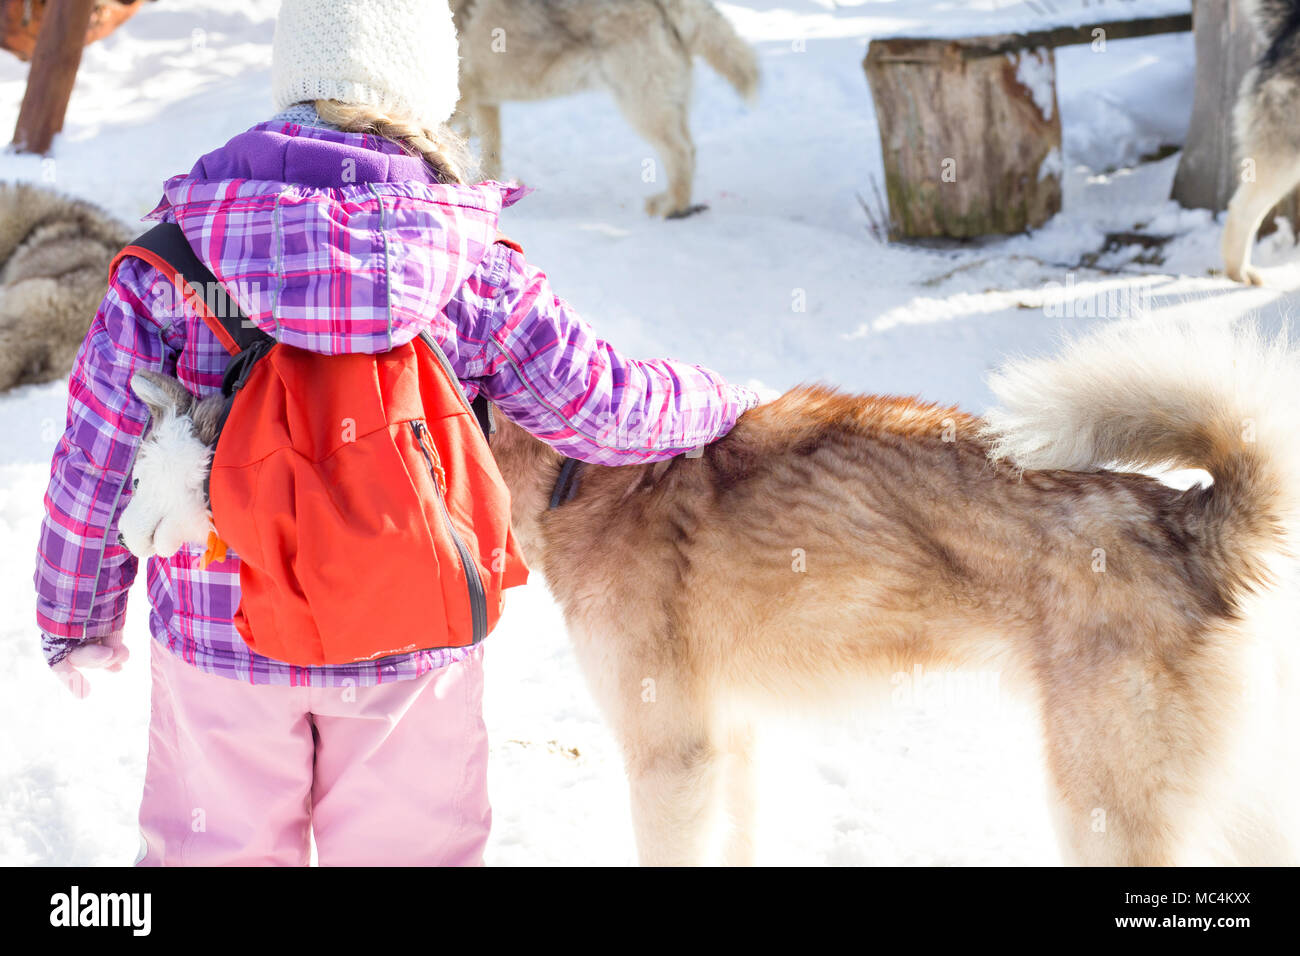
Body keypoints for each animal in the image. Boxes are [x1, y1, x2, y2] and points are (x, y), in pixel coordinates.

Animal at [122, 321, 1300, 868]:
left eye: (166, 460)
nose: (126, 532)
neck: (572, 475)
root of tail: (1190, 518)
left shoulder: (671, 752)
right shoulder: (725, 741)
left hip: (1103, 802)